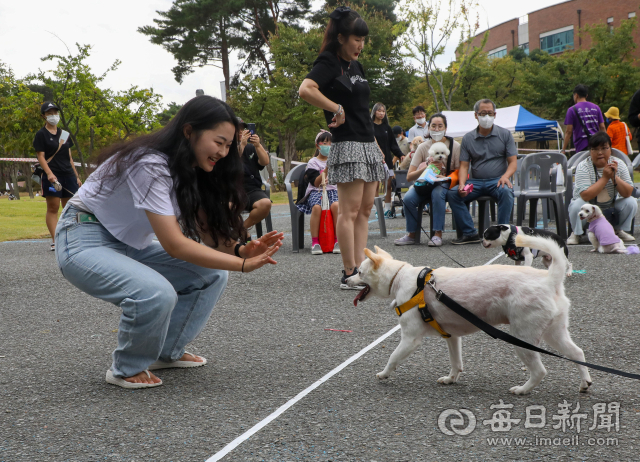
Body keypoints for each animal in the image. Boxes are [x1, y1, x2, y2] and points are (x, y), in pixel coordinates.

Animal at [348, 236, 592, 396]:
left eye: (359, 272)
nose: (346, 278)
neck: (401, 278)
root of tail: (550, 279)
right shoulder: (452, 337)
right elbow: (456, 363)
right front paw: (451, 379)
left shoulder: (410, 339)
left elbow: (393, 357)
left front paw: (383, 374)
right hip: (554, 333)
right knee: (577, 353)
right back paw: (584, 383)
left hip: (523, 339)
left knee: (540, 371)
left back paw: (522, 390)